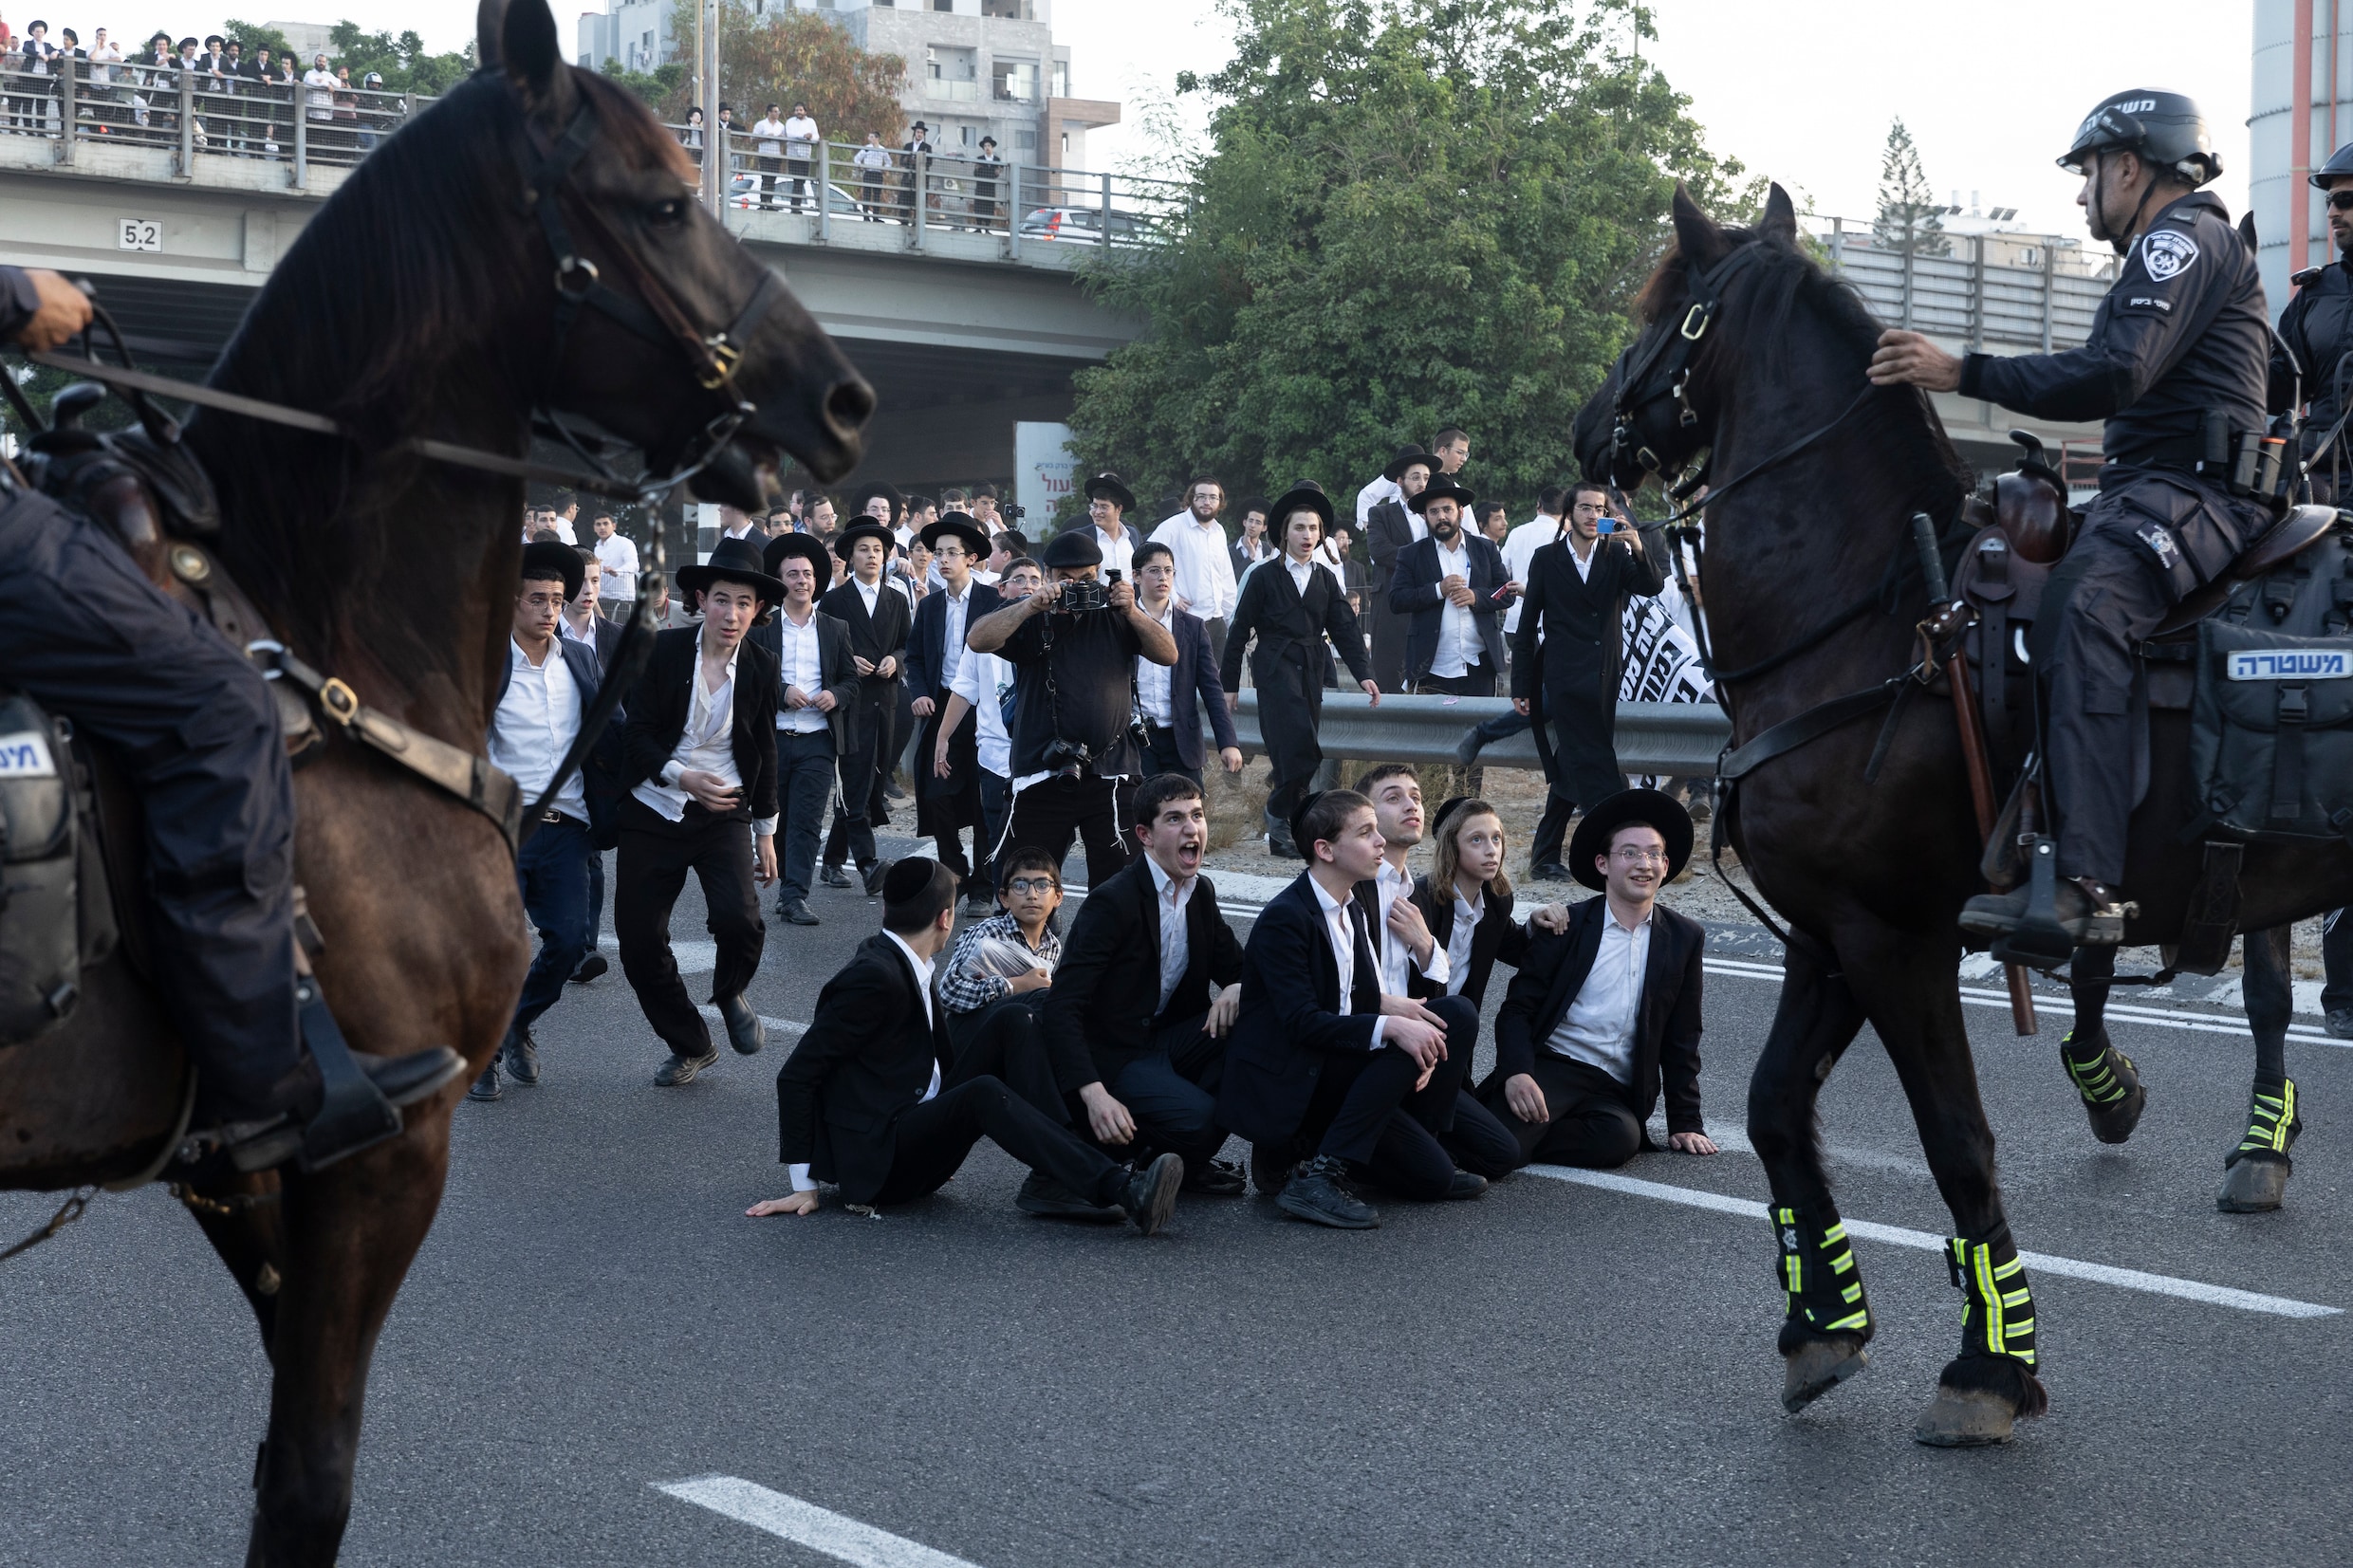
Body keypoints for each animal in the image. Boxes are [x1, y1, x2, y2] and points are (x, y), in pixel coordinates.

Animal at [0, 6, 875, 1560]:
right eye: (664, 201)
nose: (840, 398)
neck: (322, 632)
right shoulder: (382, 1146)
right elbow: (310, 1479)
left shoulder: (248, 1172)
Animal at [1581, 190, 2353, 1457]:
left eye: (1663, 308)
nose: (1586, 429)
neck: (1874, 614)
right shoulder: (1831, 934)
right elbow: (1775, 1113)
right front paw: (1820, 1324)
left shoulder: (1898, 940)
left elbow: (1956, 1141)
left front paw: (1988, 1366)